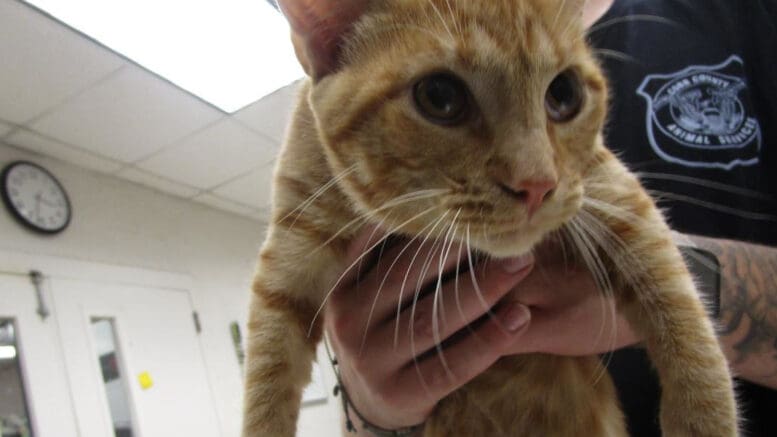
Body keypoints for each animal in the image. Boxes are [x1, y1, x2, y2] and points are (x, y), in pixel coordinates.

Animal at [244, 1, 740, 434]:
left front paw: (704, 418)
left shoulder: (604, 185)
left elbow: (678, 302)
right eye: (440, 96)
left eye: (564, 94)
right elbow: (268, 369)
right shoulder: (293, 240)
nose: (537, 185)